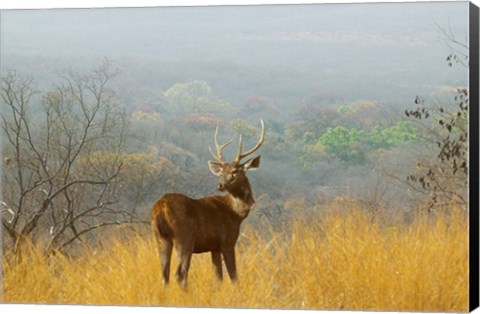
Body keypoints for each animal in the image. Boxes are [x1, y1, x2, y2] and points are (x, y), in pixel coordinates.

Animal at [151, 119, 266, 288]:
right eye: (222, 172)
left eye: (235, 171)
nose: (220, 185)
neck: (236, 214)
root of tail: (160, 208)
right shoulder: (227, 241)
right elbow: (233, 276)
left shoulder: (214, 247)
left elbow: (218, 277)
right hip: (184, 236)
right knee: (180, 272)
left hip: (160, 237)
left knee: (164, 273)